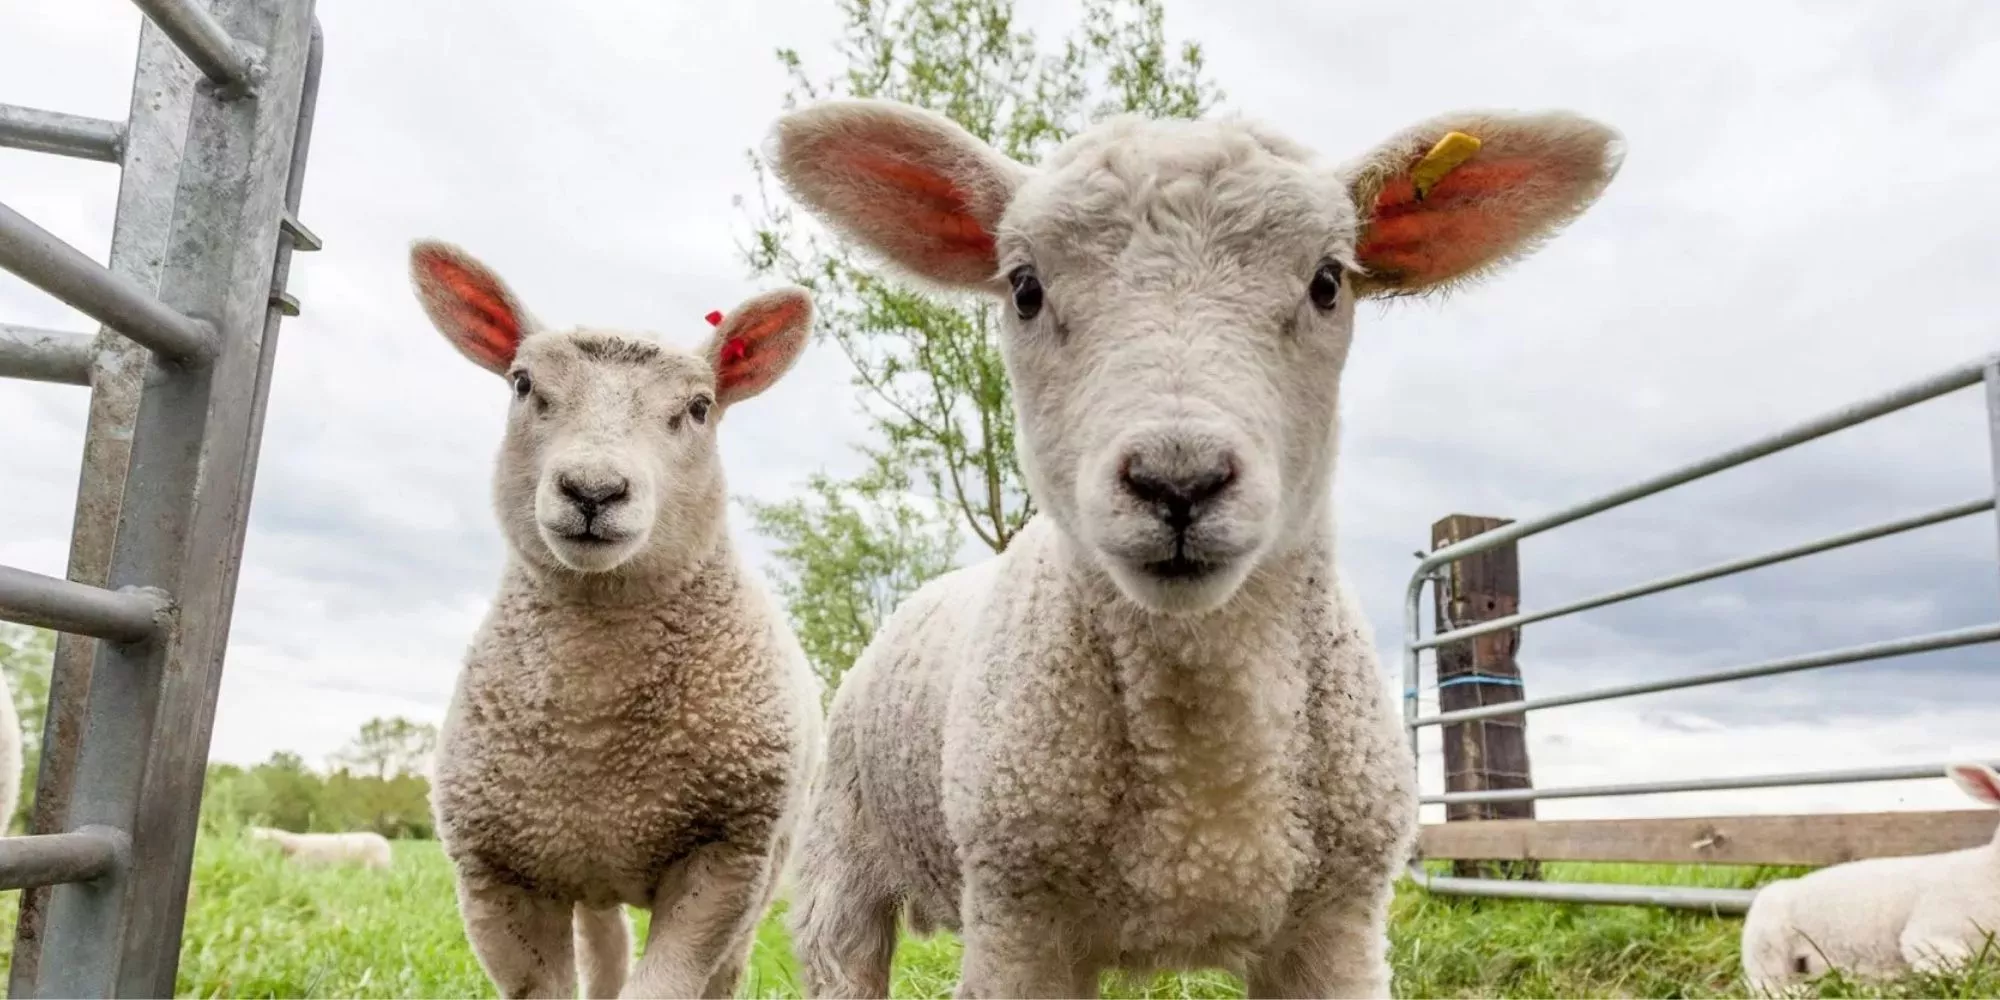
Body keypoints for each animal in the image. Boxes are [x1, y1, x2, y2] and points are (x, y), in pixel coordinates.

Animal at [410, 242, 824, 1000]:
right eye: (522, 384)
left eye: (699, 407)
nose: (593, 490)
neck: (593, 735)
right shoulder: (495, 873)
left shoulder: (728, 851)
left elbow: (667, 983)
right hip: (585, 872)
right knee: (607, 947)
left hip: (769, 860)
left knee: (723, 967)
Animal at [764, 101, 1624, 1000]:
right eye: (1025, 288)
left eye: (1327, 282)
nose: (1179, 481)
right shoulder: (1017, 920)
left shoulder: (1340, 925)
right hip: (837, 868)